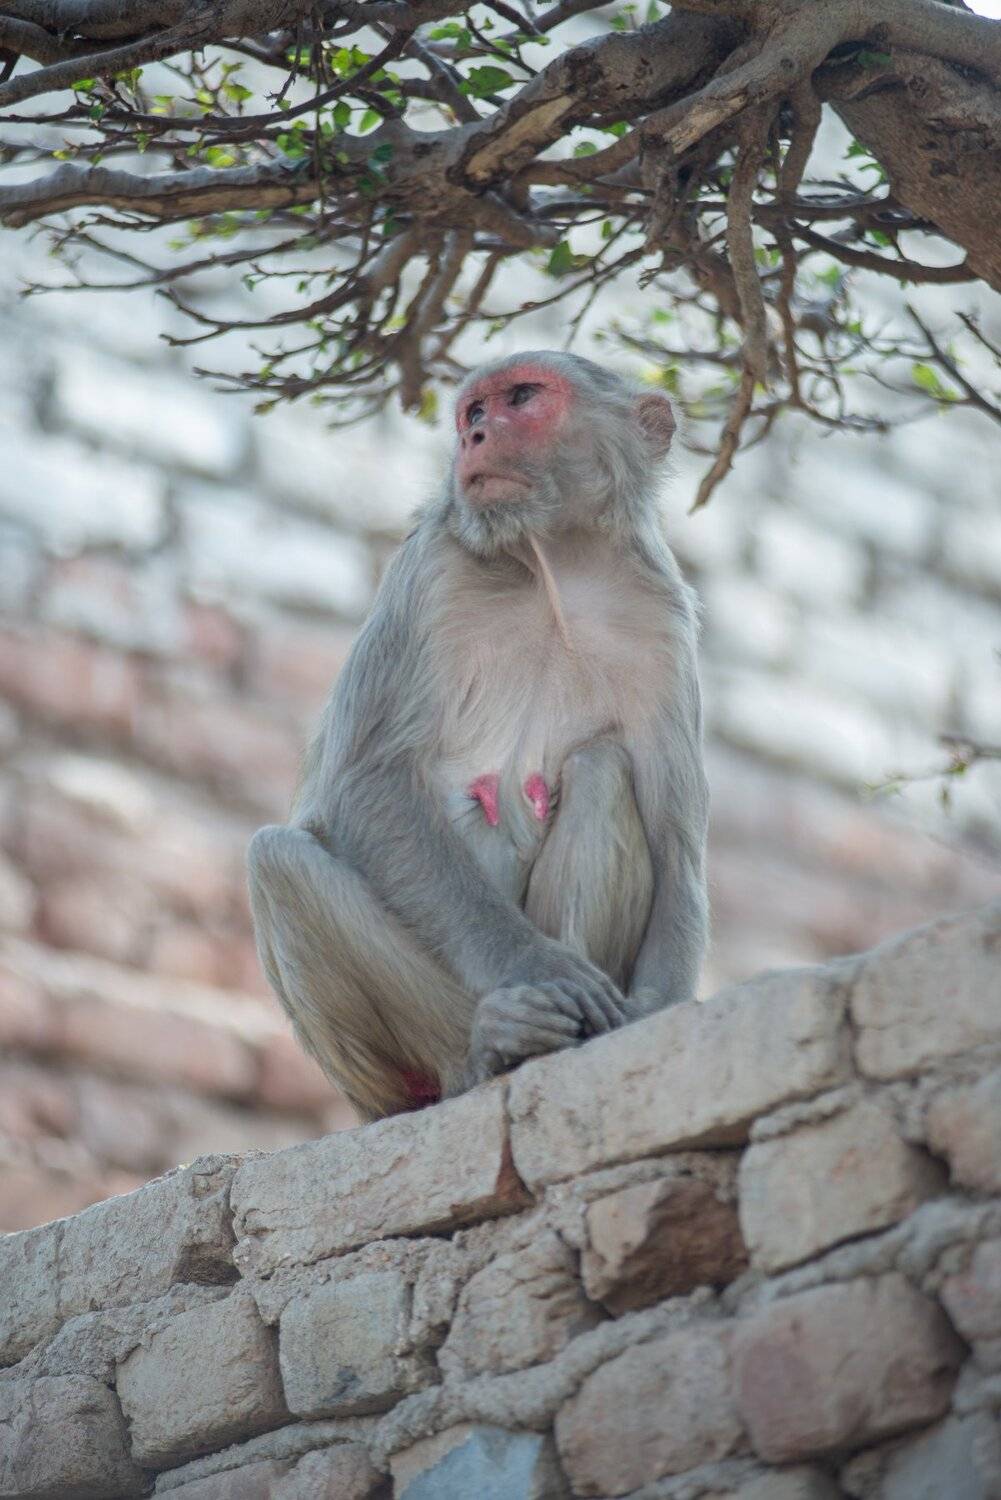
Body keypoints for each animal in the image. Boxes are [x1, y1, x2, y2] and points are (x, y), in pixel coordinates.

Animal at [247, 350, 709, 1123]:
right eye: (472, 411)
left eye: (521, 397)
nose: (474, 438)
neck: (555, 570)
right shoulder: (430, 574)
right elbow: (370, 780)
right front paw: (538, 965)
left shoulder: (663, 621)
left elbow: (675, 839)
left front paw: (654, 1016)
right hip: (385, 1075)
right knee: (277, 860)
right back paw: (490, 1045)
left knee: (601, 768)